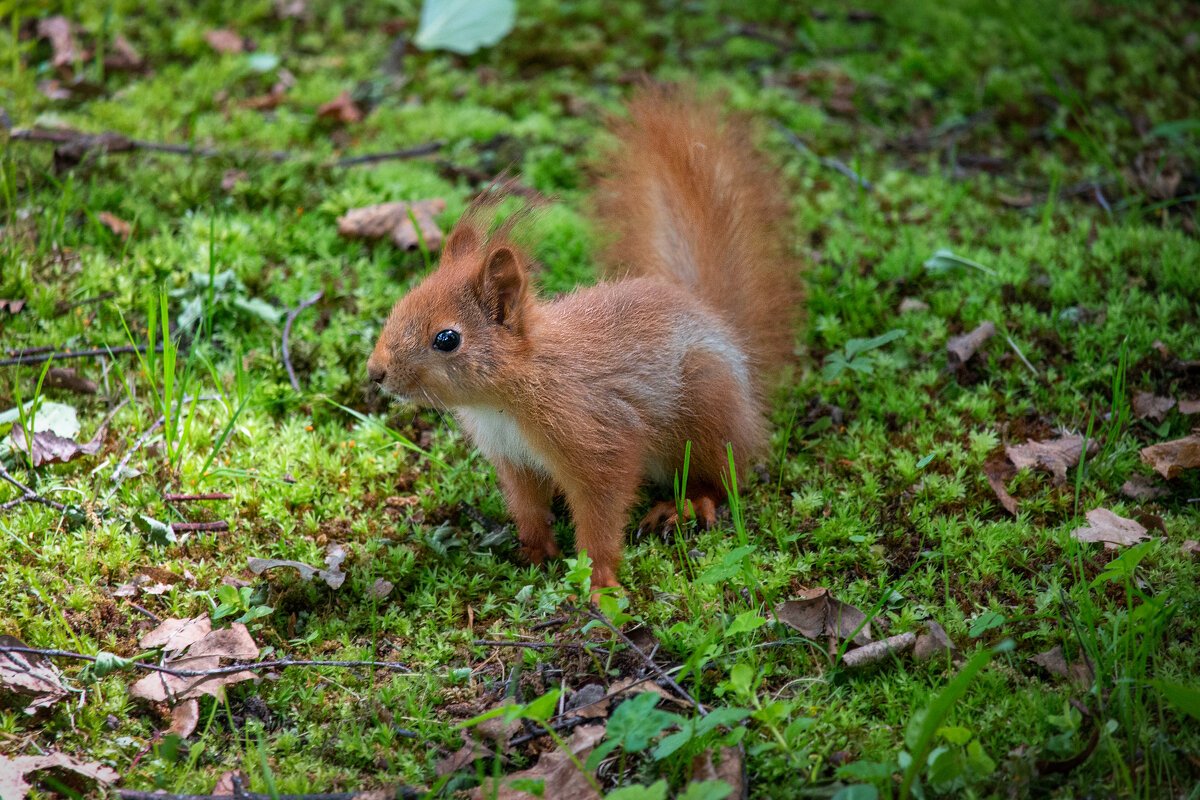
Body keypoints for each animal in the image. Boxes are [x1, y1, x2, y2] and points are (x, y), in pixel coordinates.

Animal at [364, 87, 796, 597]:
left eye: (447, 338)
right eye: (401, 301)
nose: (375, 372)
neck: (506, 396)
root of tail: (718, 322)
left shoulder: (598, 438)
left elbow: (601, 512)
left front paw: (600, 582)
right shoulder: (514, 459)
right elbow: (527, 506)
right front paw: (533, 551)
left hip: (707, 412)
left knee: (723, 474)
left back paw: (689, 504)